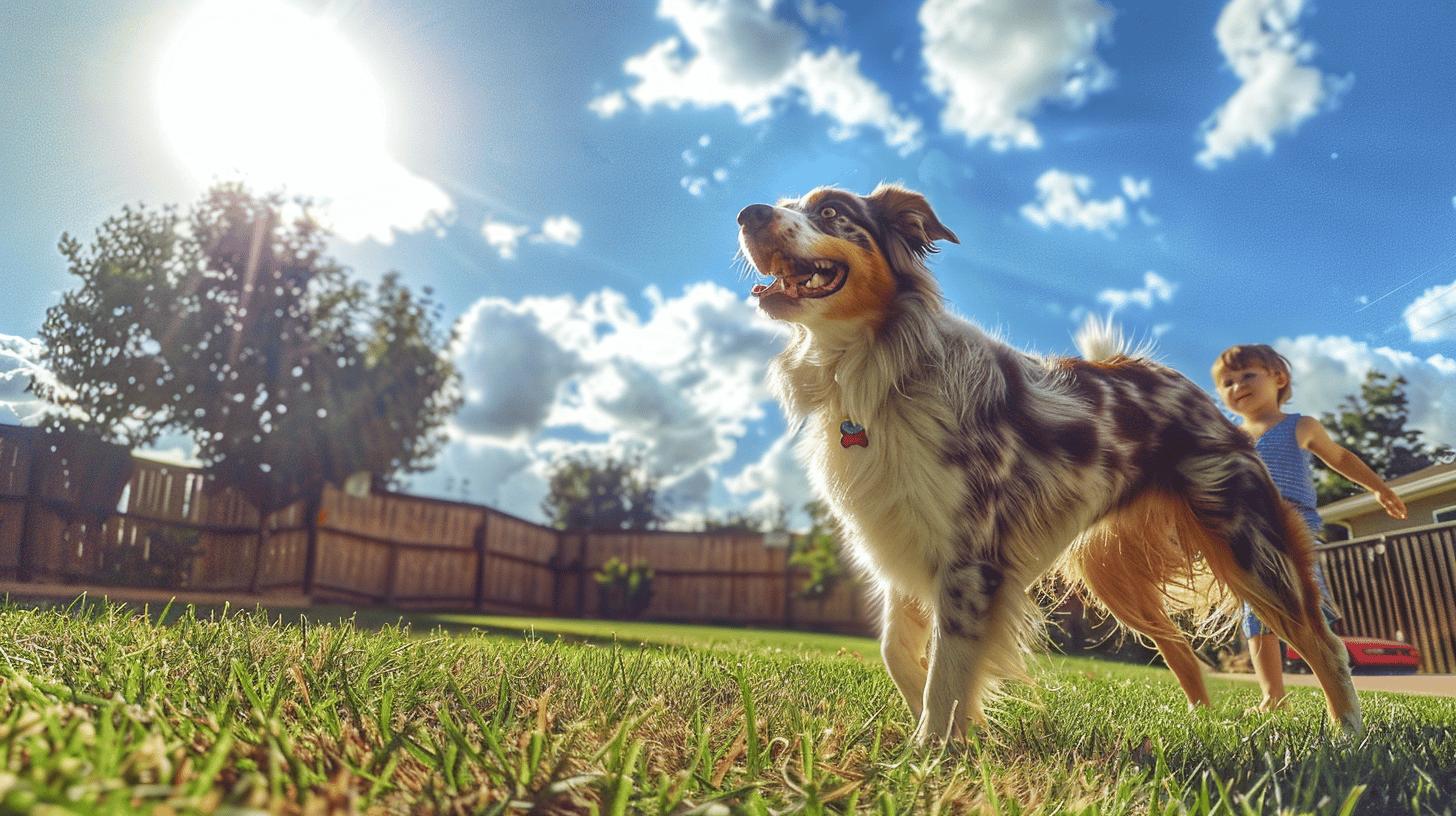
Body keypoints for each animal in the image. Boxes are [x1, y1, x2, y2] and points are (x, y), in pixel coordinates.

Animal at [739, 183, 1362, 740]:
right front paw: (953, 731)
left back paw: (1348, 734)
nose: (749, 214)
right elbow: (898, 652)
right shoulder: (906, 538)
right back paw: (1198, 721)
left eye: (830, 211)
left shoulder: (970, 560)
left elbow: (948, 673)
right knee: (1178, 643)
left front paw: (930, 754)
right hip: (1111, 571)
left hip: (1248, 544)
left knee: (1322, 641)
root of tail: (1178, 382)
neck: (879, 371)